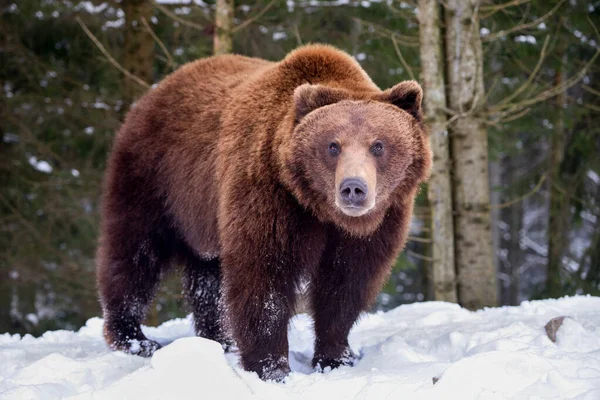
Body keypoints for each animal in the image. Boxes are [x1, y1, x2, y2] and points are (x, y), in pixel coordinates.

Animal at [99, 43, 432, 382]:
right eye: (333, 145)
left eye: (378, 145)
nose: (353, 188)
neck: (320, 209)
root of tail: (155, 91)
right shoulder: (270, 196)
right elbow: (264, 277)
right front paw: (271, 368)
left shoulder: (376, 225)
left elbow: (345, 284)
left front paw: (335, 357)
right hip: (155, 179)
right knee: (135, 254)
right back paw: (135, 338)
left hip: (204, 214)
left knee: (207, 277)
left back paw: (219, 339)